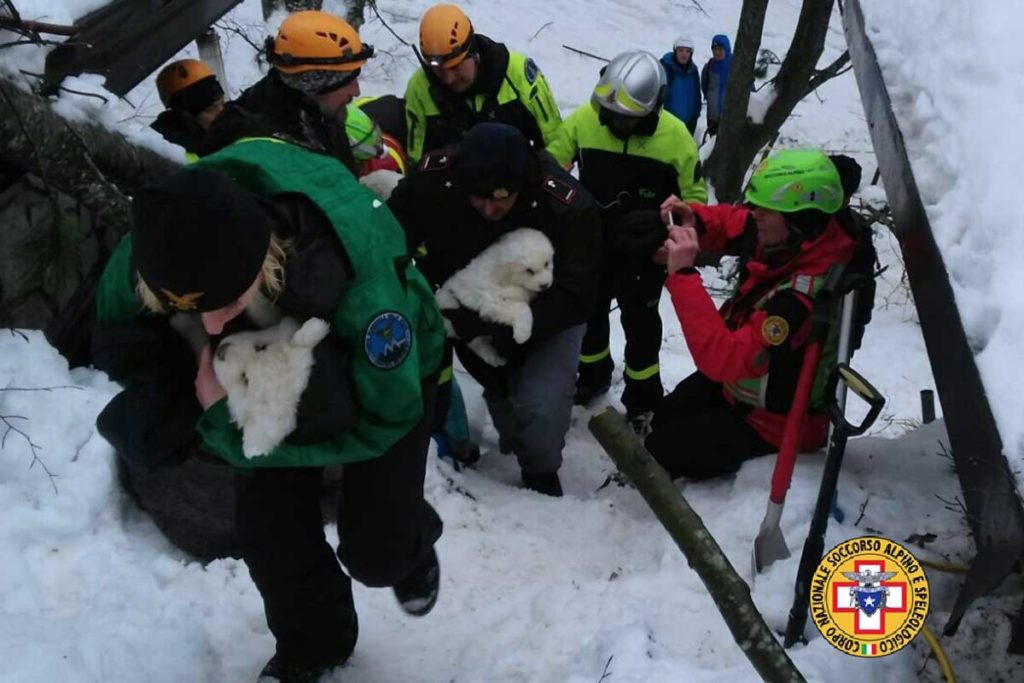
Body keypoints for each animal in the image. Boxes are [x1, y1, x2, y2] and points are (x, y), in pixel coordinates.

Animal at [436, 228, 557, 368]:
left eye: (546, 264)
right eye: (529, 271)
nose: (545, 285)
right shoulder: (492, 302)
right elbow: (522, 308)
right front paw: (522, 334)